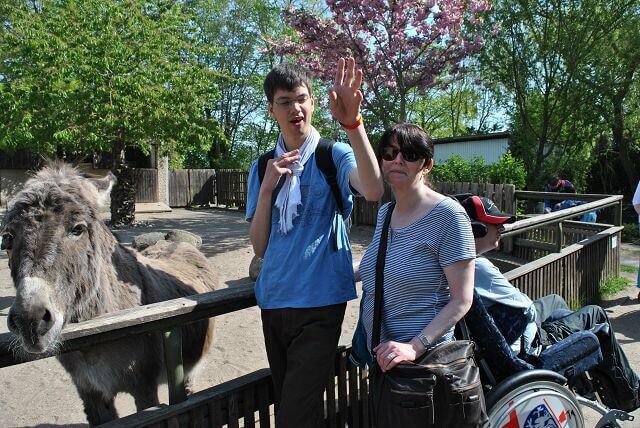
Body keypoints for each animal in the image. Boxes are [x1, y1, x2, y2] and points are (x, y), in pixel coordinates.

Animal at [1, 163, 218, 425]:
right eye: (7, 238)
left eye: (78, 229)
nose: (30, 321)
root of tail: (180, 243)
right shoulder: (89, 391)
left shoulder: (144, 387)